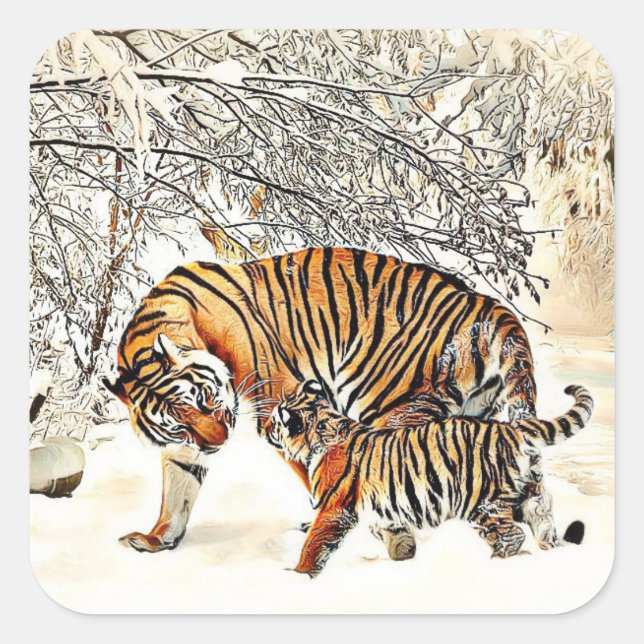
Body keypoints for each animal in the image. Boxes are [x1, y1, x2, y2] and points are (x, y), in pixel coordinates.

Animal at [103, 247, 537, 558]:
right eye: (179, 424)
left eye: (206, 400)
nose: (218, 443)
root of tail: (491, 308)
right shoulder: (184, 447)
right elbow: (178, 487)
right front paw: (158, 539)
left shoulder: (277, 399)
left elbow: (312, 466)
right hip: (471, 416)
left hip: (391, 405)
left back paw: (393, 535)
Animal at [269, 380, 592, 578]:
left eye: (275, 420)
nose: (268, 427)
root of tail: (511, 428)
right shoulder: (385, 507)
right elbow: (394, 533)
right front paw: (403, 554)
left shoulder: (334, 509)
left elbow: (313, 544)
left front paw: (298, 576)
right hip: (529, 496)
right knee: (544, 525)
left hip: (482, 504)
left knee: (512, 535)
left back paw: (496, 563)